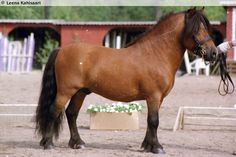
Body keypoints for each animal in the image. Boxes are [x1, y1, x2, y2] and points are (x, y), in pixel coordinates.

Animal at [35, 7, 218, 154]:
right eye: (196, 30)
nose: (214, 53)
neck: (155, 54)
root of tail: (61, 50)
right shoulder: (153, 96)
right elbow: (154, 121)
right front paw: (157, 147)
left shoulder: (158, 99)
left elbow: (151, 122)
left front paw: (147, 146)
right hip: (65, 91)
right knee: (54, 111)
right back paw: (48, 144)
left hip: (80, 92)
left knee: (71, 113)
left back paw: (77, 143)